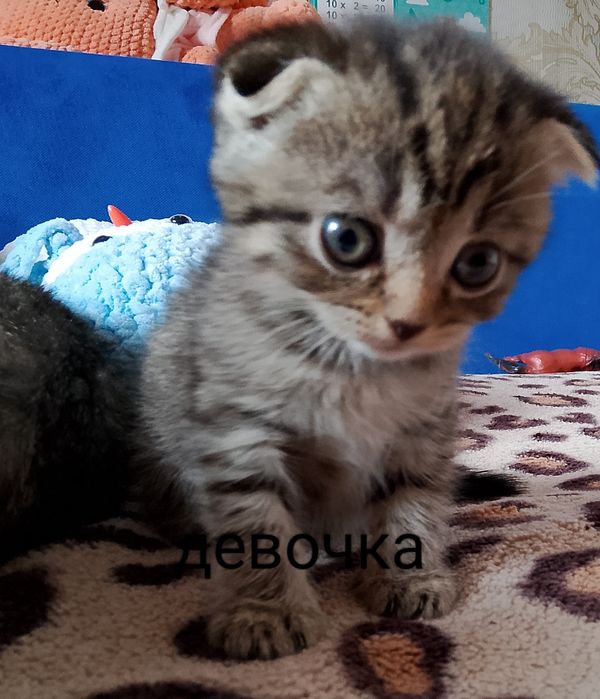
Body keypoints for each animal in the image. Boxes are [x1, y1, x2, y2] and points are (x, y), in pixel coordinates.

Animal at [137, 18, 599, 660]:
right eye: (346, 239)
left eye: (478, 263)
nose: (407, 322)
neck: (351, 368)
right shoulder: (236, 428)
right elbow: (255, 519)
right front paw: (265, 611)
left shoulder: (425, 429)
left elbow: (416, 499)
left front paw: (410, 575)